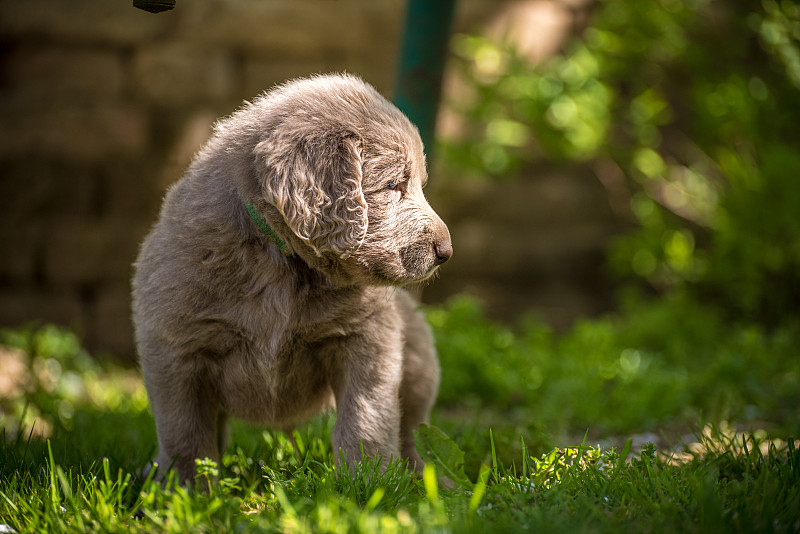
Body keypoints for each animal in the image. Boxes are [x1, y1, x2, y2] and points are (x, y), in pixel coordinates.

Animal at [134, 72, 454, 486]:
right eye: (393, 185)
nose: (446, 251)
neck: (282, 262)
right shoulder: (175, 348)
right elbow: (183, 430)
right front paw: (185, 490)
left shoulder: (367, 337)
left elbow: (366, 415)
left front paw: (368, 482)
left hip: (419, 362)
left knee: (415, 429)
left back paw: (429, 481)